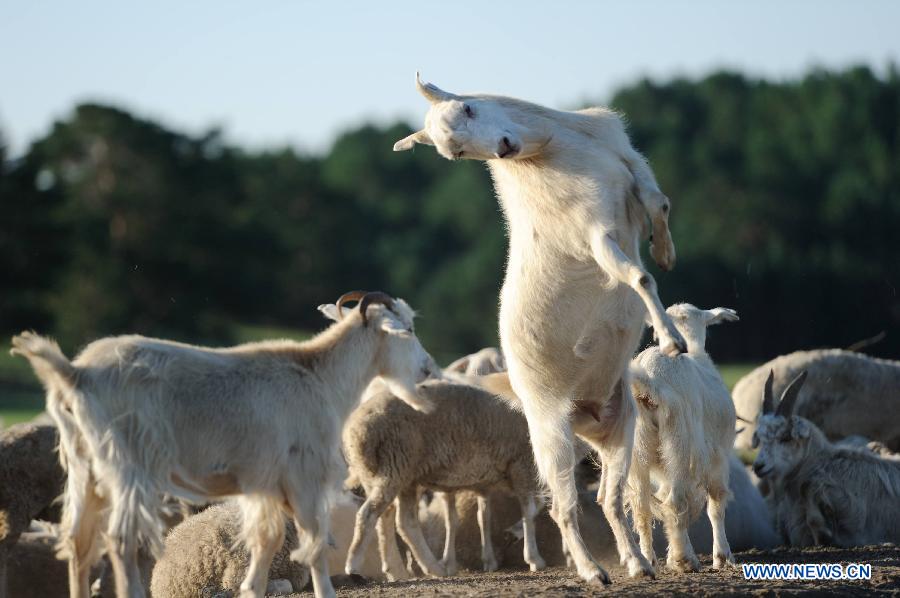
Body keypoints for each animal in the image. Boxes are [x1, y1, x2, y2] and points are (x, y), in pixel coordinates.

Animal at [11, 291, 436, 598]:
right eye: (409, 329)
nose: (428, 368)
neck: (320, 376)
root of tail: (75, 373)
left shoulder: (265, 485)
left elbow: (266, 543)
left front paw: (251, 588)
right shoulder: (303, 476)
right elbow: (313, 545)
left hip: (85, 468)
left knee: (79, 544)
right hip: (128, 464)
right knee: (119, 540)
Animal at [395, 74, 686, 584]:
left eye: (469, 108)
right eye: (455, 153)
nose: (504, 148)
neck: (553, 149)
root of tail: (582, 414)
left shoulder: (629, 168)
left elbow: (659, 203)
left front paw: (665, 250)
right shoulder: (593, 233)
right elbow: (638, 279)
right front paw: (671, 339)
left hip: (621, 429)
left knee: (609, 500)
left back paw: (638, 564)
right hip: (550, 436)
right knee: (563, 509)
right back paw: (593, 571)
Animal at [628, 304, 739, 573]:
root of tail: (649, 381)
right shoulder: (718, 456)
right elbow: (716, 505)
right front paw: (722, 557)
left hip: (637, 447)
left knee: (643, 508)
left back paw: (648, 561)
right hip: (680, 442)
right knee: (676, 502)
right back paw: (685, 560)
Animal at [752, 370, 900, 547]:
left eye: (786, 437)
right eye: (761, 439)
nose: (758, 466)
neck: (821, 463)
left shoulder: (855, 517)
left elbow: (807, 489)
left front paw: (825, 534)